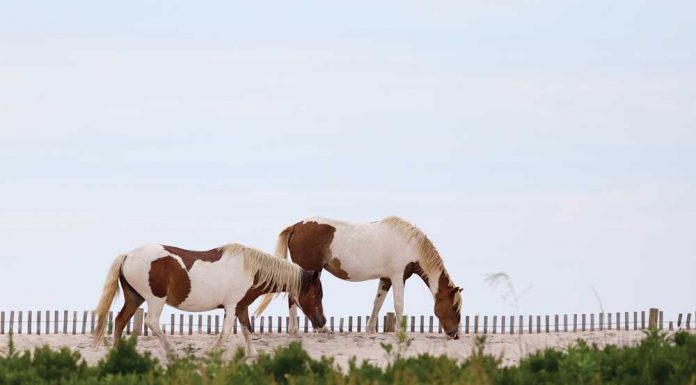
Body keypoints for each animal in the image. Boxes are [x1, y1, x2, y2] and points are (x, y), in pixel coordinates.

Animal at [92, 243, 326, 354]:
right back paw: (172, 351)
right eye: (318, 293)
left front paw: (252, 355)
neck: (250, 269)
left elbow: (247, 331)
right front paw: (211, 352)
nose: (322, 321)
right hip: (154, 300)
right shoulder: (231, 308)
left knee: (120, 321)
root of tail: (128, 255)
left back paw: (118, 353)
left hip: (135, 298)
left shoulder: (241, 308)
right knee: (151, 322)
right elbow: (225, 334)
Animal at [258, 216, 464, 340]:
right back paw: (299, 330)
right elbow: (398, 304)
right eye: (454, 307)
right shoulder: (398, 277)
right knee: (295, 297)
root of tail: (295, 226)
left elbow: (378, 303)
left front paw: (370, 330)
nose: (454, 334)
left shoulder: (386, 279)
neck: (410, 245)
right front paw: (399, 332)